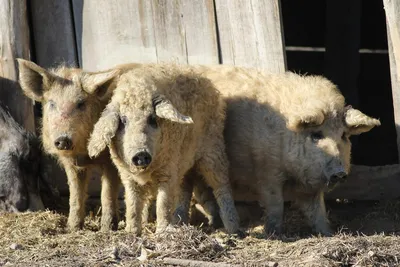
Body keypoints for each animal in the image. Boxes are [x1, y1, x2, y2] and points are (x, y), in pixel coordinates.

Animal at [16, 59, 140, 231]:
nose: (63, 139)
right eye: (52, 104)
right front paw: (72, 228)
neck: (84, 154)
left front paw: (106, 229)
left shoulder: (110, 162)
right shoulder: (71, 165)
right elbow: (75, 193)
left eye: (81, 104)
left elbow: (107, 193)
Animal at [86, 63, 239, 236]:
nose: (141, 154)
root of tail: (208, 83)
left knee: (221, 186)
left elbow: (163, 204)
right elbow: (132, 205)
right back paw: (180, 222)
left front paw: (161, 233)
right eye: (123, 121)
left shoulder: (168, 171)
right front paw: (132, 233)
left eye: (152, 119)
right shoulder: (127, 177)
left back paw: (233, 230)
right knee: (185, 189)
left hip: (213, 150)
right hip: (184, 161)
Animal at [180, 67, 380, 237]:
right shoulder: (267, 174)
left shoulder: (311, 187)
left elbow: (318, 210)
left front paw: (327, 233)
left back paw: (214, 223)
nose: (339, 172)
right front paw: (274, 233)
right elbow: (276, 205)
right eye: (316, 135)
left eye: (344, 135)